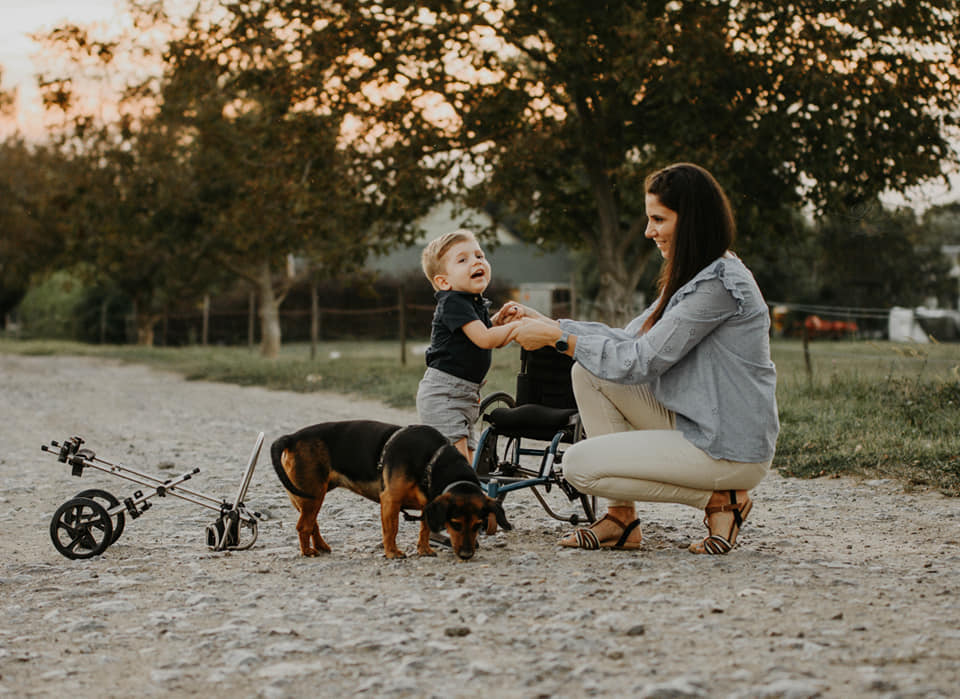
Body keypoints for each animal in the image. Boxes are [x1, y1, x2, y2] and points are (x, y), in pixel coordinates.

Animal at [270, 418, 510, 560]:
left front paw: (424, 549)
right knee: (303, 526)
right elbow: (391, 530)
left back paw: (321, 546)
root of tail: (292, 437)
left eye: (479, 525)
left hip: (309, 496)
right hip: (311, 495)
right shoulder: (390, 500)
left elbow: (424, 529)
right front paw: (392, 552)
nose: (468, 554)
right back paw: (308, 551)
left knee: (312, 523)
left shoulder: (428, 505)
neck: (432, 460)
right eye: (456, 524)